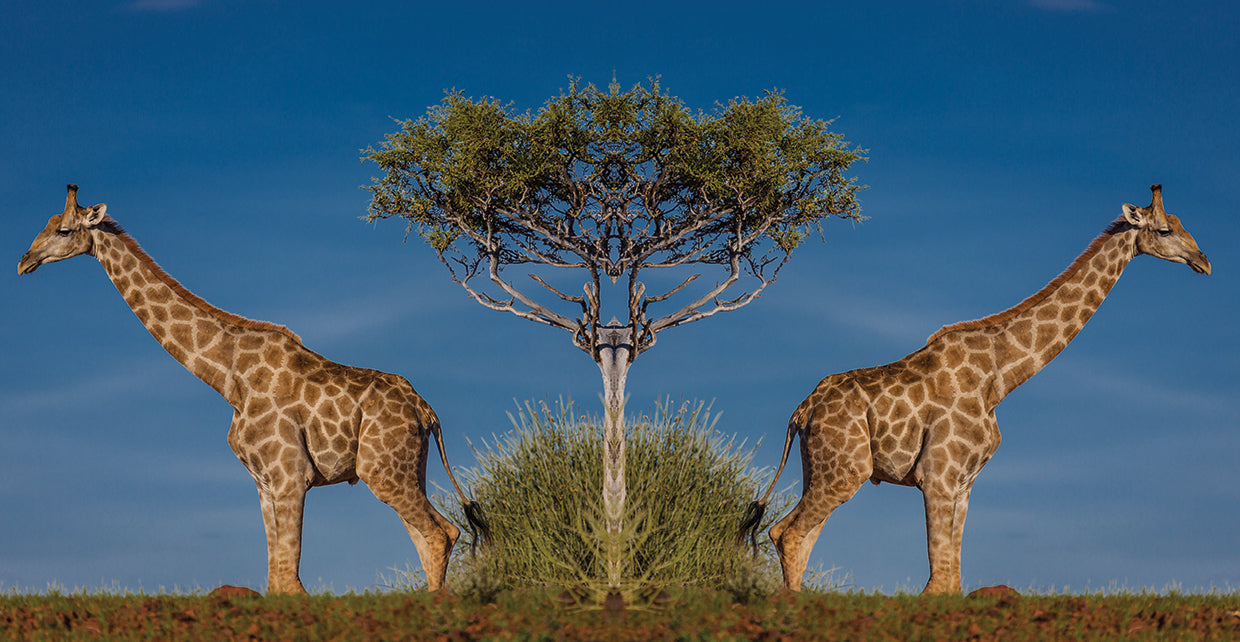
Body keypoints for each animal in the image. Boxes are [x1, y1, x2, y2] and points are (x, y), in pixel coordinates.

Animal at [18, 184, 487, 594]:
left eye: (64, 230)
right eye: (47, 224)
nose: (24, 261)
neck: (228, 378)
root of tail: (426, 411)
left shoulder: (290, 475)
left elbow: (289, 581)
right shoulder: (263, 482)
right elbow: (276, 577)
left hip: (381, 470)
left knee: (439, 533)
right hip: (405, 469)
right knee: (432, 535)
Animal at [740, 184, 1210, 594]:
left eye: (1181, 224)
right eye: (1164, 230)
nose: (1204, 262)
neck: (1000, 378)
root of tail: (802, 411)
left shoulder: (965, 483)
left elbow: (953, 578)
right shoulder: (938, 475)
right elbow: (938, 582)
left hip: (823, 468)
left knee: (796, 535)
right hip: (846, 469)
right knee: (789, 533)